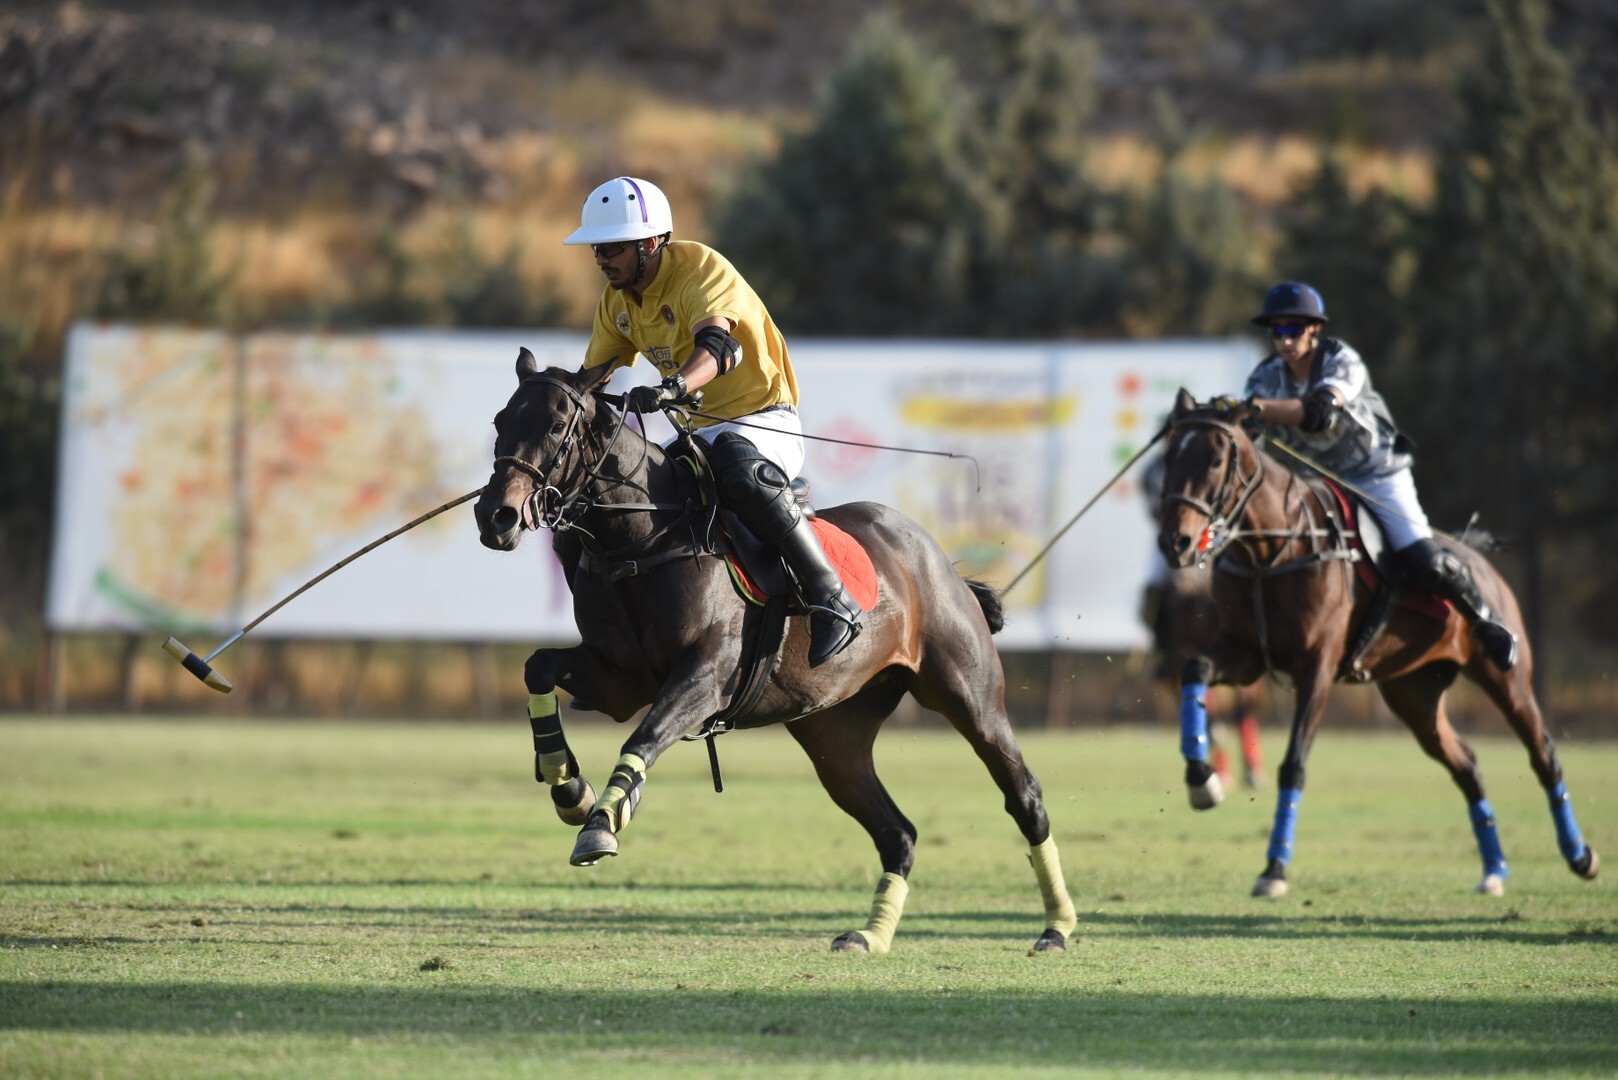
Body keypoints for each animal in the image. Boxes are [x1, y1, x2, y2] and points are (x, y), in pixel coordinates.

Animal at [469, 351, 1074, 952]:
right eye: (499, 421)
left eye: (555, 426)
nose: (495, 516)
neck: (641, 540)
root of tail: (936, 558)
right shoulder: (618, 678)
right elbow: (538, 667)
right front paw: (569, 788)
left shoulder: (707, 676)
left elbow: (644, 735)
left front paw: (600, 822)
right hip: (834, 734)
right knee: (896, 832)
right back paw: (870, 936)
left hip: (969, 696)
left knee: (1025, 797)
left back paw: (1057, 927)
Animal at [1158, 393, 1598, 900]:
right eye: (1169, 456)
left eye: (1214, 460)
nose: (1175, 542)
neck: (1272, 550)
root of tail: (1479, 558)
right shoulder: (1243, 652)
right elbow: (1194, 670)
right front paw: (1202, 782)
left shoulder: (1317, 667)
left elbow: (1294, 764)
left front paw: (1274, 869)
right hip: (1414, 693)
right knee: (1467, 765)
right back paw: (1494, 870)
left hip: (1506, 678)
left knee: (1544, 755)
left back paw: (1580, 856)